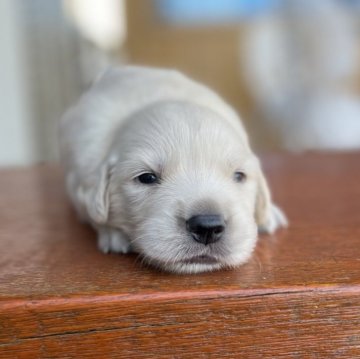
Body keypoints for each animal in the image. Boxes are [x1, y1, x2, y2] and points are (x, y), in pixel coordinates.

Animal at [59, 66, 286, 274]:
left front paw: (269, 214)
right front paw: (112, 233)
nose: (208, 226)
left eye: (239, 176)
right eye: (147, 178)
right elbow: (93, 213)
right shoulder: (78, 179)